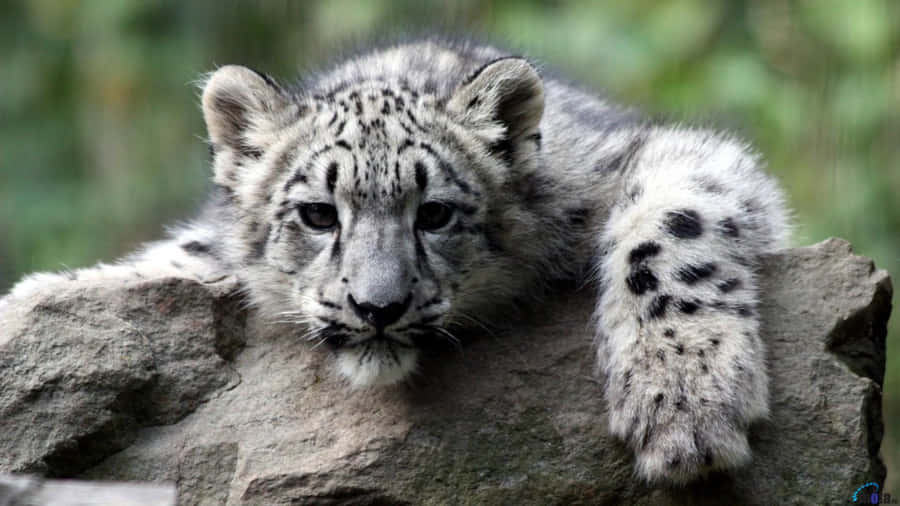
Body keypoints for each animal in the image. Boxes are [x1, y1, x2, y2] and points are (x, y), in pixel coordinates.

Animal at [2, 38, 789, 484]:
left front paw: (683, 404)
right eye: (319, 214)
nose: (376, 307)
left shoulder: (668, 159)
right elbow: (174, 259)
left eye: (434, 212)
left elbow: (671, 227)